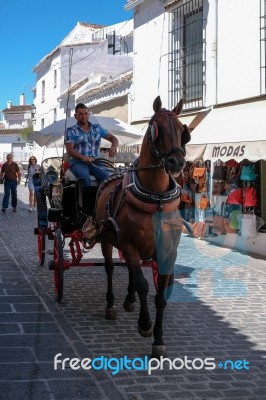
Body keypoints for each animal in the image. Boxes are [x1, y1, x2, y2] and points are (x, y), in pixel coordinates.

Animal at [94, 97, 190, 356]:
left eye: (182, 130)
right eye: (156, 129)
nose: (176, 162)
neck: (156, 200)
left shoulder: (167, 253)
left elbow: (160, 295)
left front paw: (158, 339)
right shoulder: (129, 245)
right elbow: (143, 285)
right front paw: (145, 324)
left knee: (128, 270)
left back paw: (128, 300)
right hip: (107, 239)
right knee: (110, 268)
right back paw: (111, 305)